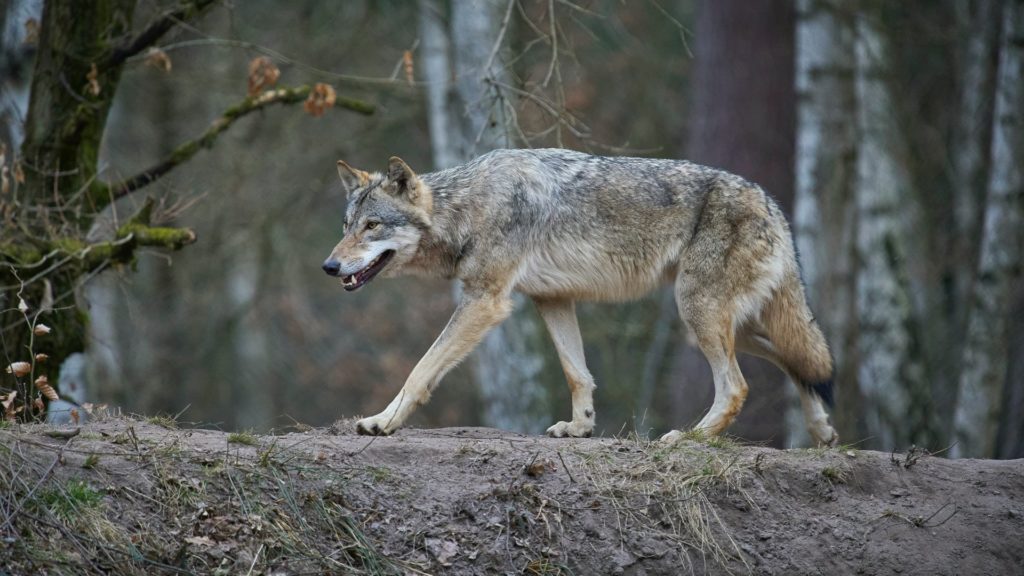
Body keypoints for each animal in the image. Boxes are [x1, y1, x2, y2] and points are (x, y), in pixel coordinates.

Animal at [321, 147, 839, 444]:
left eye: (373, 226)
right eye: (346, 226)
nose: (328, 267)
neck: (467, 208)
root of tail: (772, 204)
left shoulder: (485, 301)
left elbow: (420, 371)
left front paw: (382, 422)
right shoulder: (552, 299)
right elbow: (577, 374)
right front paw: (581, 427)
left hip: (699, 316)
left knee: (737, 387)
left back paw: (689, 438)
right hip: (721, 325)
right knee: (802, 361)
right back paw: (823, 430)